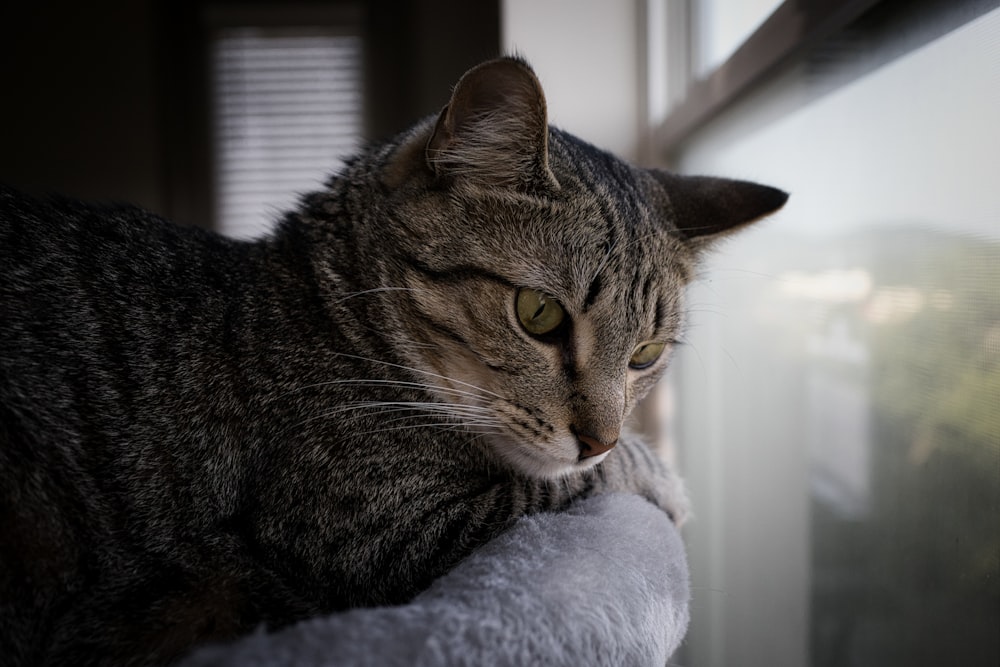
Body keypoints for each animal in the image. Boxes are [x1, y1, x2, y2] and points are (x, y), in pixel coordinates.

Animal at [0, 58, 788, 667]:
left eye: (647, 354)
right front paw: (661, 478)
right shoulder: (377, 532)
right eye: (539, 314)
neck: (319, 314)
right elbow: (568, 484)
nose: (598, 436)